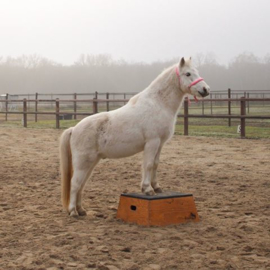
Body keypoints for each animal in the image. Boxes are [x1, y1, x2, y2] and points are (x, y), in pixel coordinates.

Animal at [60, 58, 210, 216]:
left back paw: (81, 210)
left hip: (91, 162)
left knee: (81, 184)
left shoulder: (160, 144)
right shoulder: (152, 142)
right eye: (188, 73)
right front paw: (147, 189)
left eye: (196, 71)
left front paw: (156, 187)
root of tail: (74, 129)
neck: (158, 104)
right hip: (83, 162)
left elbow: (155, 164)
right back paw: (73, 211)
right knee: (75, 184)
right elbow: (148, 164)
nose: (206, 89)